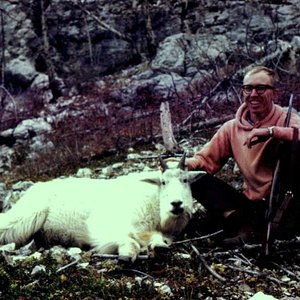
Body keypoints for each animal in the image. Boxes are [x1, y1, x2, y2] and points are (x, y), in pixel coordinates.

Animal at [0, 155, 205, 260]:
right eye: (163, 182)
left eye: (185, 180)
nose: (177, 204)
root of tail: (33, 189)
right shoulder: (108, 225)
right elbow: (129, 240)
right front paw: (126, 254)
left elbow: (157, 239)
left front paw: (159, 246)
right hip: (28, 215)